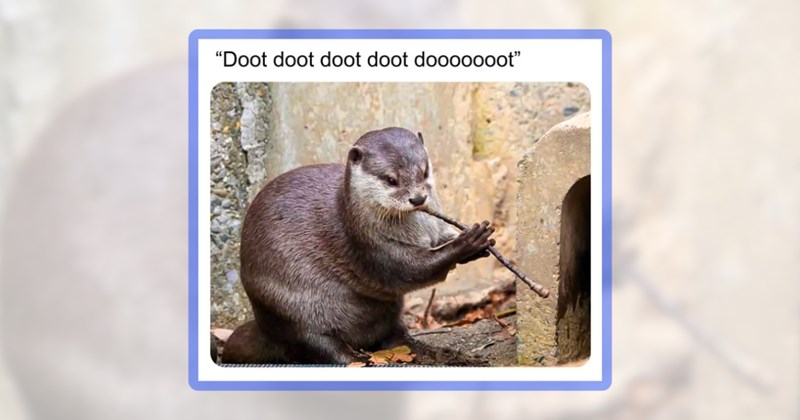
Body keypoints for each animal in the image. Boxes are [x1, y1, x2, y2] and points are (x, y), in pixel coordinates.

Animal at [227, 127, 495, 364]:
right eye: (391, 179)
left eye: (424, 171)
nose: (418, 198)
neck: (418, 231)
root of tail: (263, 326)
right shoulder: (368, 244)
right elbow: (409, 271)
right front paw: (466, 243)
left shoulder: (434, 230)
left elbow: (440, 241)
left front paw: (476, 244)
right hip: (287, 308)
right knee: (316, 344)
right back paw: (356, 358)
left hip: (389, 311)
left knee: (394, 335)